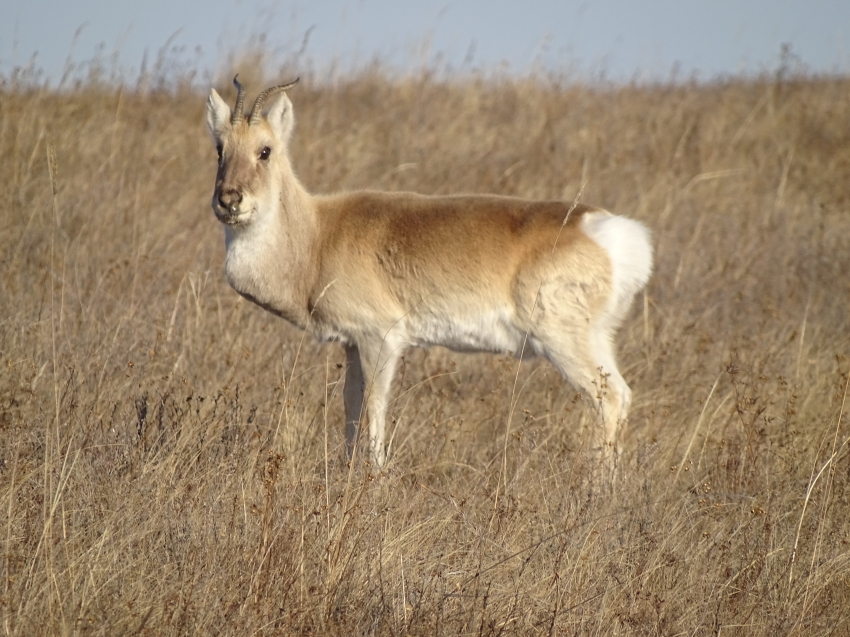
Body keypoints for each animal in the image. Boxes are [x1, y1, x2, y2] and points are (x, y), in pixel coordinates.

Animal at [204, 78, 648, 468]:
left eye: (265, 150)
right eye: (220, 148)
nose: (229, 200)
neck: (319, 233)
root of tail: (606, 229)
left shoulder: (381, 340)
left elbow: (375, 410)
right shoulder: (351, 345)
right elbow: (350, 408)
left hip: (564, 343)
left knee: (608, 399)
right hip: (596, 341)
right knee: (624, 395)